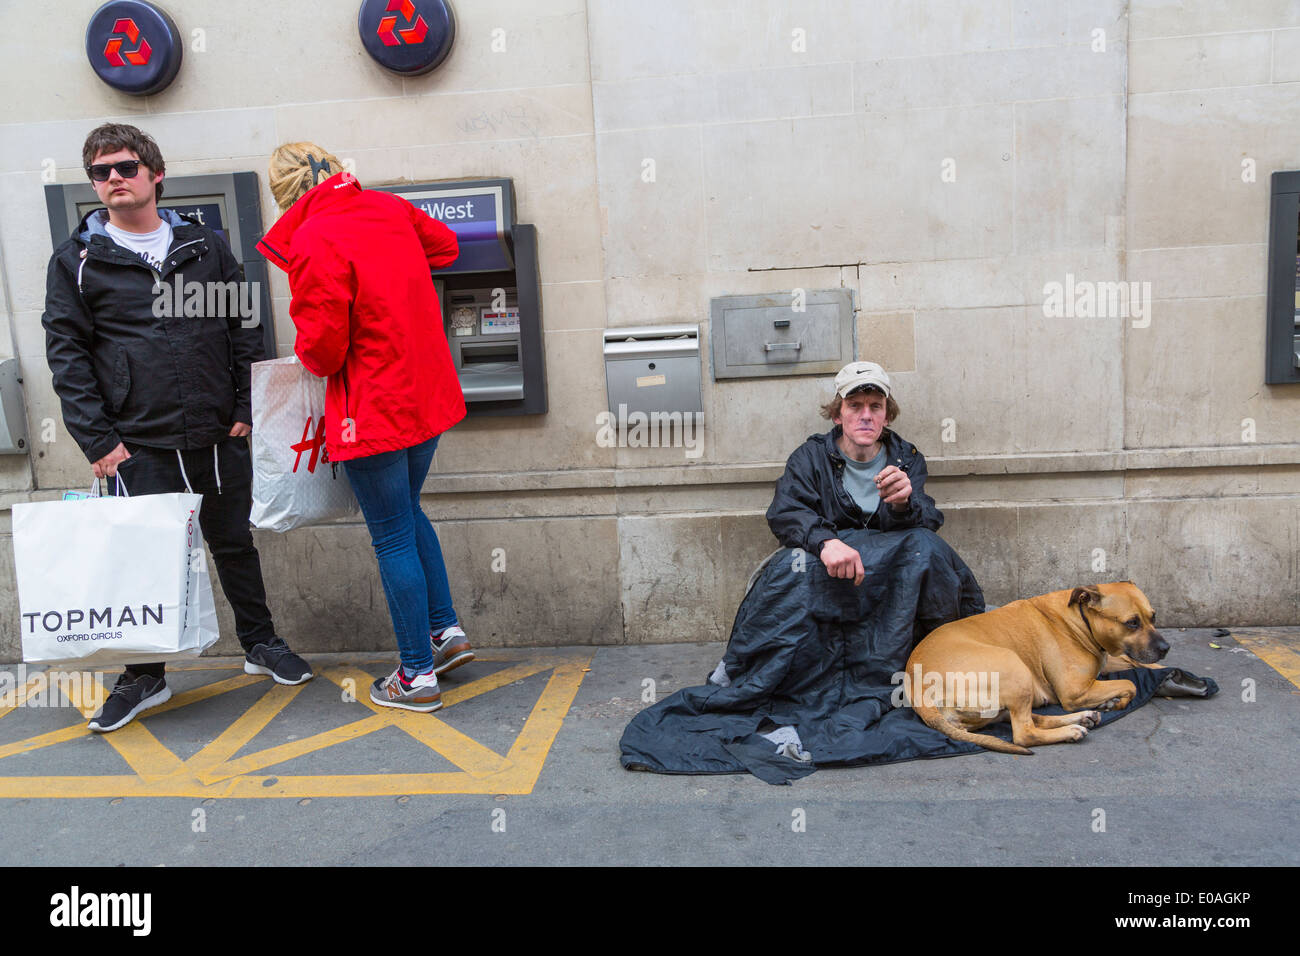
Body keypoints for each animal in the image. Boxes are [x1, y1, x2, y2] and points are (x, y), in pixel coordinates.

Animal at [904, 582, 1170, 754]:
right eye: (1132, 623)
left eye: (1153, 617)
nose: (1165, 647)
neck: (1079, 618)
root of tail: (917, 688)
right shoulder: (1074, 691)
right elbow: (1130, 682)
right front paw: (1119, 701)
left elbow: (1133, 664)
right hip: (1014, 667)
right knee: (1024, 733)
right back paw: (1072, 729)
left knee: (1032, 719)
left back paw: (1082, 718)